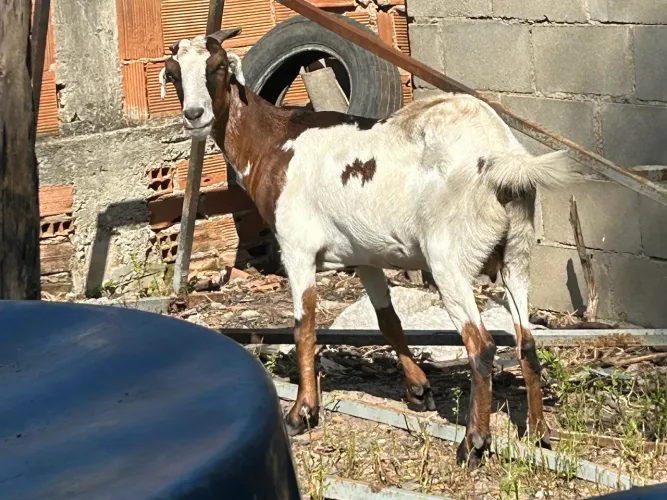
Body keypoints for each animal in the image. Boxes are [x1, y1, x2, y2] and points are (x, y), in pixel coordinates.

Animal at [160, 28, 574, 466]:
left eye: (218, 66)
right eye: (173, 73)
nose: (195, 115)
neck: (274, 142)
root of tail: (502, 157)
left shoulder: (297, 247)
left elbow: (304, 325)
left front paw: (302, 411)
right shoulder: (364, 255)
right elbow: (388, 322)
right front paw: (419, 390)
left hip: (450, 260)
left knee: (482, 346)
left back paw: (473, 443)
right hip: (517, 255)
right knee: (526, 341)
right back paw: (538, 432)